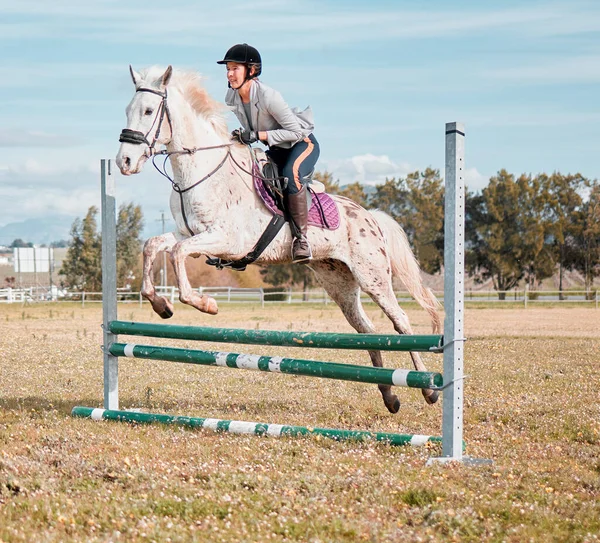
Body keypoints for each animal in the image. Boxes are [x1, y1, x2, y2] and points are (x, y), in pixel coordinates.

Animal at [117, 65, 442, 412]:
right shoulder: (189, 232)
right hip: (339, 282)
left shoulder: (227, 240)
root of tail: (369, 216)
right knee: (365, 329)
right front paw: (160, 304)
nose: (124, 162)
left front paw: (207, 304)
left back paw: (428, 390)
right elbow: (153, 246)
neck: (201, 171)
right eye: (128, 110)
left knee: (401, 322)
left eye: (148, 111)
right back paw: (388, 394)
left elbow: (177, 254)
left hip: (373, 276)